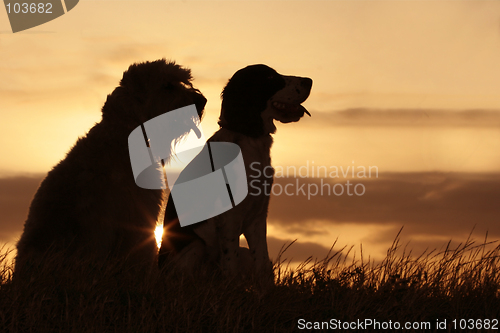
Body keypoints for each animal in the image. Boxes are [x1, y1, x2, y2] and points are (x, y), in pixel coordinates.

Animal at [159, 64, 312, 280]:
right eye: (269, 77)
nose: (309, 81)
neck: (250, 141)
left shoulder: (258, 216)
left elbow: (262, 261)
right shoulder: (230, 217)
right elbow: (230, 264)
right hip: (196, 246)